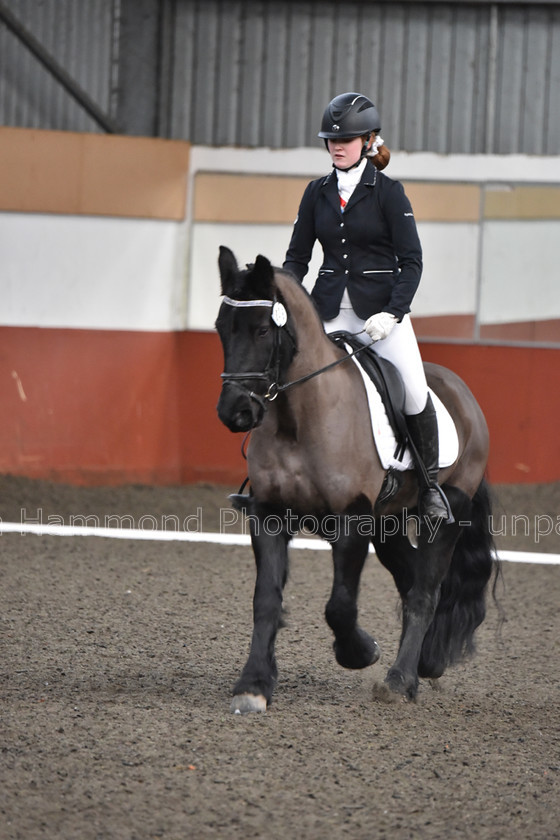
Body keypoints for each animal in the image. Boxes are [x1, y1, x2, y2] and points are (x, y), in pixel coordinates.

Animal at [217, 246, 496, 712]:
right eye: (221, 328)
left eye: (261, 330)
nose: (234, 412)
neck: (298, 418)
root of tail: (463, 393)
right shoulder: (270, 515)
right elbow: (266, 600)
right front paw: (253, 685)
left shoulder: (352, 521)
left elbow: (340, 606)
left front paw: (361, 652)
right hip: (390, 524)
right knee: (410, 581)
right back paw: (425, 665)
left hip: (447, 512)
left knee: (424, 592)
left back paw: (401, 680)